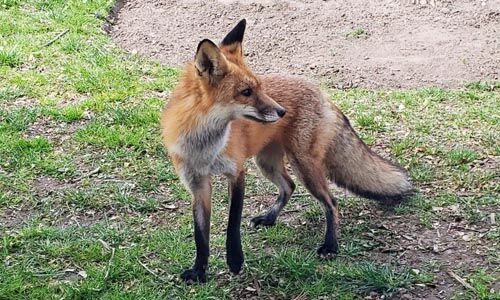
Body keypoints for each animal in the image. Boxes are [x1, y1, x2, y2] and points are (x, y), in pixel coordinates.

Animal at [160, 19, 410, 284]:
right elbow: (201, 235)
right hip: (267, 163)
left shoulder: (237, 172)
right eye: (246, 92)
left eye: (259, 87)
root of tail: (321, 92)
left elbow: (232, 223)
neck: (203, 146)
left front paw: (235, 261)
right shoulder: (197, 184)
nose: (282, 112)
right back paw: (271, 218)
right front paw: (199, 271)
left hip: (303, 165)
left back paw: (330, 246)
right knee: (289, 186)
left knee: (331, 202)